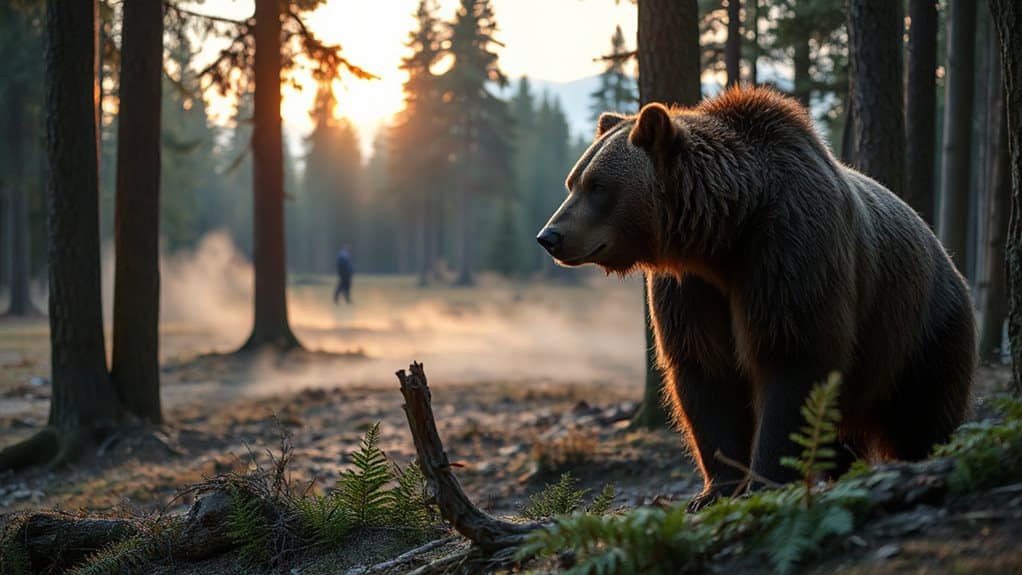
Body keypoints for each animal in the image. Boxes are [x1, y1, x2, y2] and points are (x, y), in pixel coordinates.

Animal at [536, 87, 976, 510]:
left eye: (597, 186)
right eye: (573, 182)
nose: (549, 236)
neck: (725, 236)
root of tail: (945, 254)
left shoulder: (788, 253)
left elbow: (791, 359)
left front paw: (763, 480)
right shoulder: (692, 290)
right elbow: (706, 375)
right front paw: (714, 489)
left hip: (919, 331)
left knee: (922, 413)